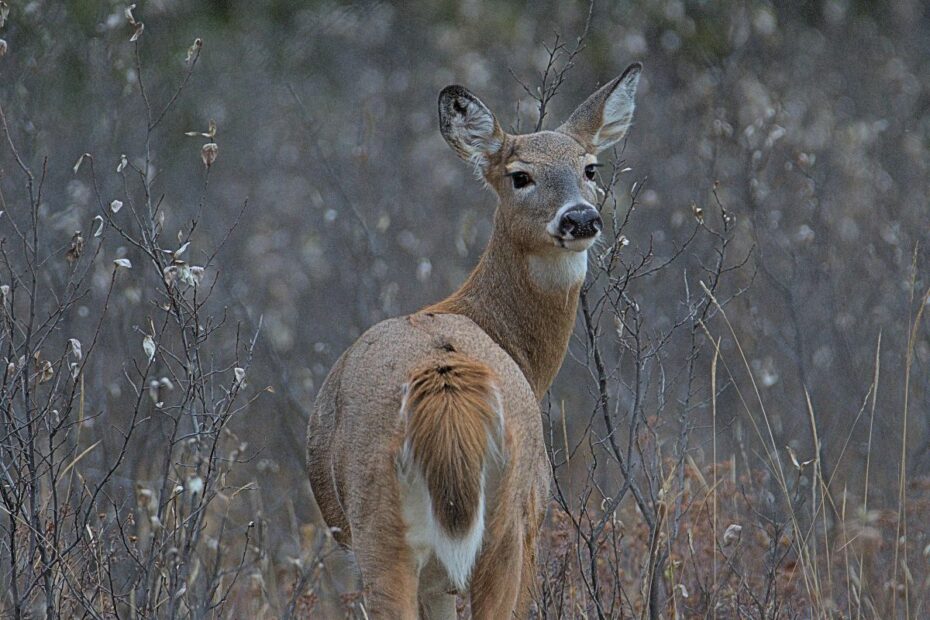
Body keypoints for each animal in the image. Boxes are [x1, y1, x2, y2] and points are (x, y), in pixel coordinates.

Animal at [308, 64, 640, 620]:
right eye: (520, 176)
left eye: (590, 168)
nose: (579, 219)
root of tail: (446, 388)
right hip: (503, 521)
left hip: (390, 533)